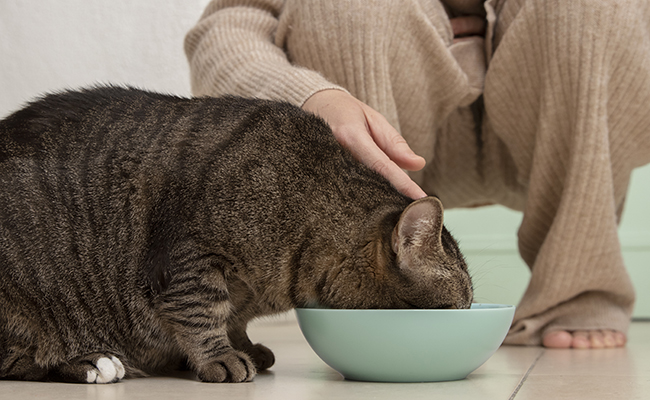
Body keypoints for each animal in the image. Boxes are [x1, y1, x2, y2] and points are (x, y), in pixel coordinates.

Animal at [0, 86, 468, 382]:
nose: (468, 315)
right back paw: (92, 361)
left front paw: (243, 345)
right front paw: (220, 356)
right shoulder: (188, 257)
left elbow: (234, 318)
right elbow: (202, 312)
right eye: (454, 308)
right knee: (20, 363)